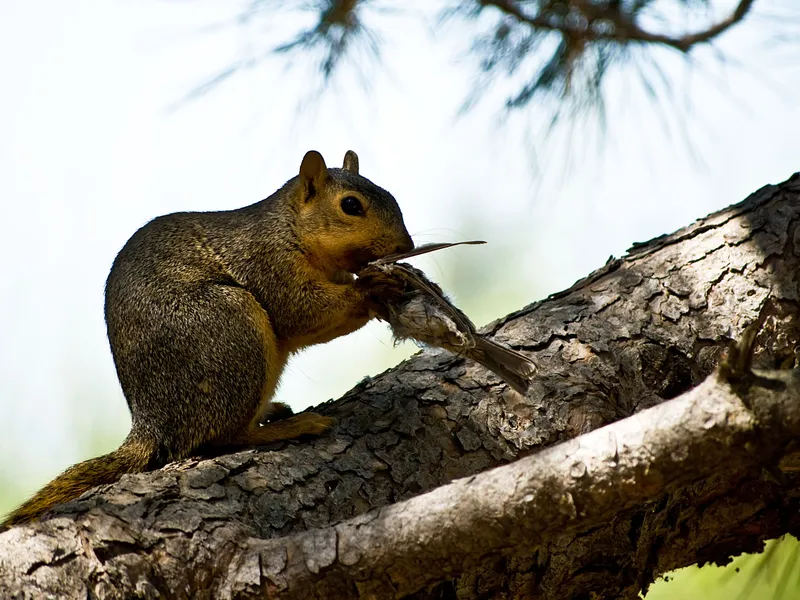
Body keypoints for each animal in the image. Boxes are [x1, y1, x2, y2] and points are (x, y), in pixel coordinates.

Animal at [0, 149, 412, 528]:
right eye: (351, 205)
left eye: (390, 195)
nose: (406, 247)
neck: (290, 228)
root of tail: (152, 422)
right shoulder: (268, 265)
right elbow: (304, 312)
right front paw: (371, 289)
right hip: (232, 329)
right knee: (222, 437)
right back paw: (291, 427)